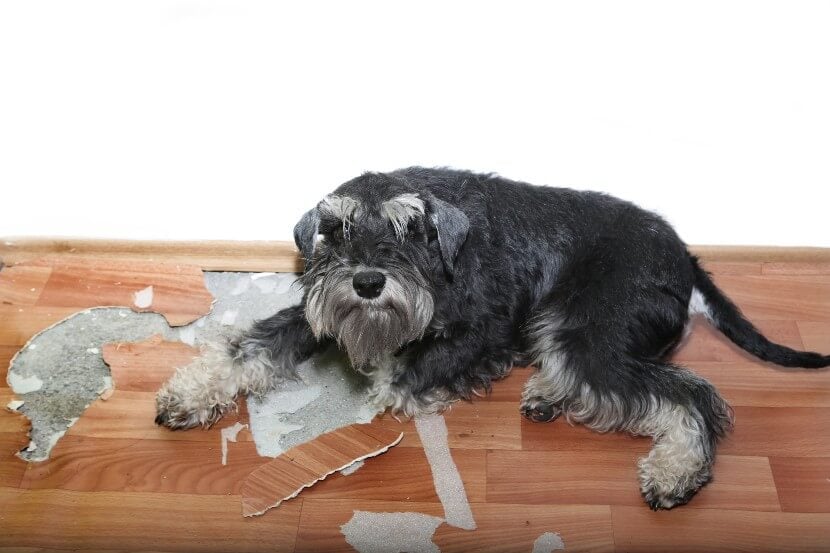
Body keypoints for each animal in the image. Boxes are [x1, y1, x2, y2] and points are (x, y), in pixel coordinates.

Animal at [153, 167, 828, 508]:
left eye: (409, 227)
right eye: (335, 229)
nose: (368, 282)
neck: (442, 257)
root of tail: (686, 255)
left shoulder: (484, 334)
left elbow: (398, 377)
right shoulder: (311, 315)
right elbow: (249, 345)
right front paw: (191, 393)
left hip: (586, 333)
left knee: (691, 395)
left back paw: (676, 470)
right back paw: (549, 397)